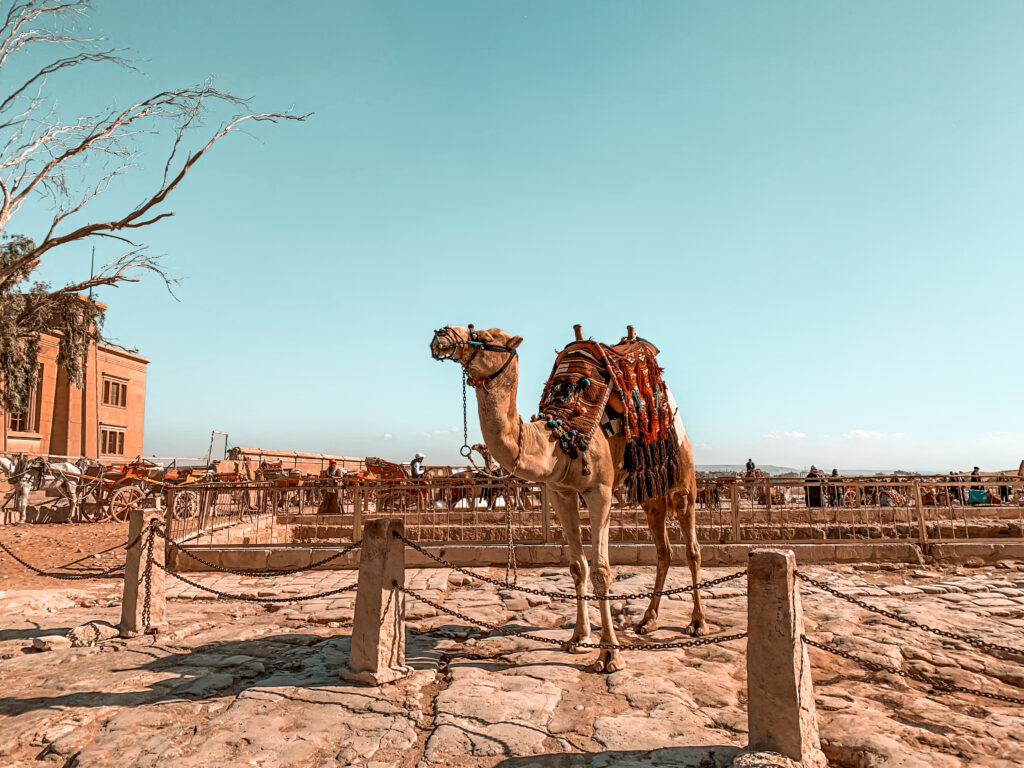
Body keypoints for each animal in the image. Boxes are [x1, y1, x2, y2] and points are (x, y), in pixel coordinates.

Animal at [428, 325, 708, 671]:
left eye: (482, 334)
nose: (442, 335)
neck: (559, 438)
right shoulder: (560, 491)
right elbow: (577, 566)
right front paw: (578, 638)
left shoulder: (600, 490)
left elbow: (601, 570)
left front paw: (610, 654)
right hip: (651, 490)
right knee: (664, 550)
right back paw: (647, 621)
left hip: (682, 474)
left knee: (692, 547)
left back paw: (697, 623)